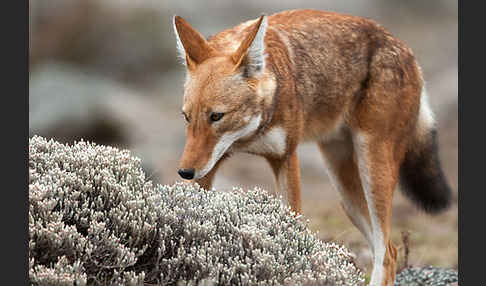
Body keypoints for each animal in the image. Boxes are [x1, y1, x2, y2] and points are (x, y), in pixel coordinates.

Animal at [174, 10, 452, 284]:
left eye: (216, 116)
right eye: (186, 117)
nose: (184, 172)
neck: (249, 136)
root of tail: (402, 46)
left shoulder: (286, 158)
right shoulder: (209, 167)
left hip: (373, 175)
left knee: (387, 253)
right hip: (346, 196)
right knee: (387, 249)